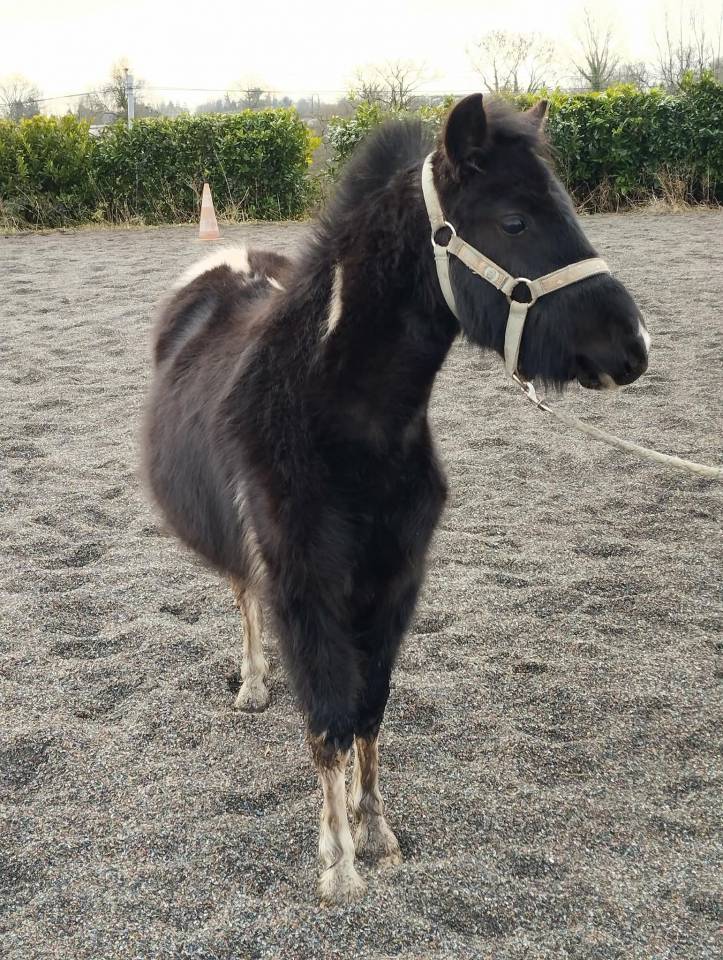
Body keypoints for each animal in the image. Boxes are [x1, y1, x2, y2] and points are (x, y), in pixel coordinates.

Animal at [142, 94, 649, 904]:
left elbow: (369, 711)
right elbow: (328, 721)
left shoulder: (392, 581)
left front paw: (375, 832)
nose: (632, 346)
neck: (335, 420)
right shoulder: (308, 587)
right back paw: (253, 684)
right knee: (244, 597)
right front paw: (339, 865)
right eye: (514, 222)